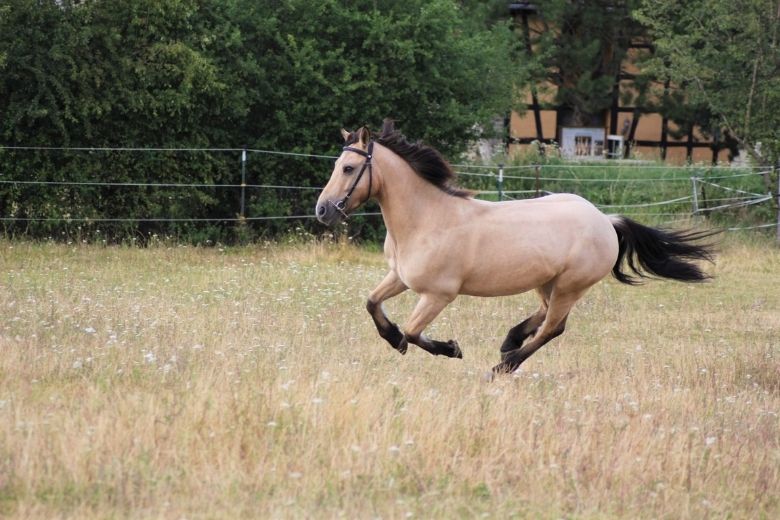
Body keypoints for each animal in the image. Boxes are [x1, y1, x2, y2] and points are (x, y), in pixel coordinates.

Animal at [316, 120, 712, 376]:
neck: (426, 220)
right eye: (337, 164)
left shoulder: (438, 294)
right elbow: (372, 303)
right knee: (545, 315)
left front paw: (450, 349)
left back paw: (503, 365)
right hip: (548, 282)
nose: (322, 210)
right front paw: (393, 338)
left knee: (553, 327)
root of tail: (605, 220)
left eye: (348, 168)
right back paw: (510, 340)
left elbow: (414, 332)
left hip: (571, 285)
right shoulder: (399, 276)